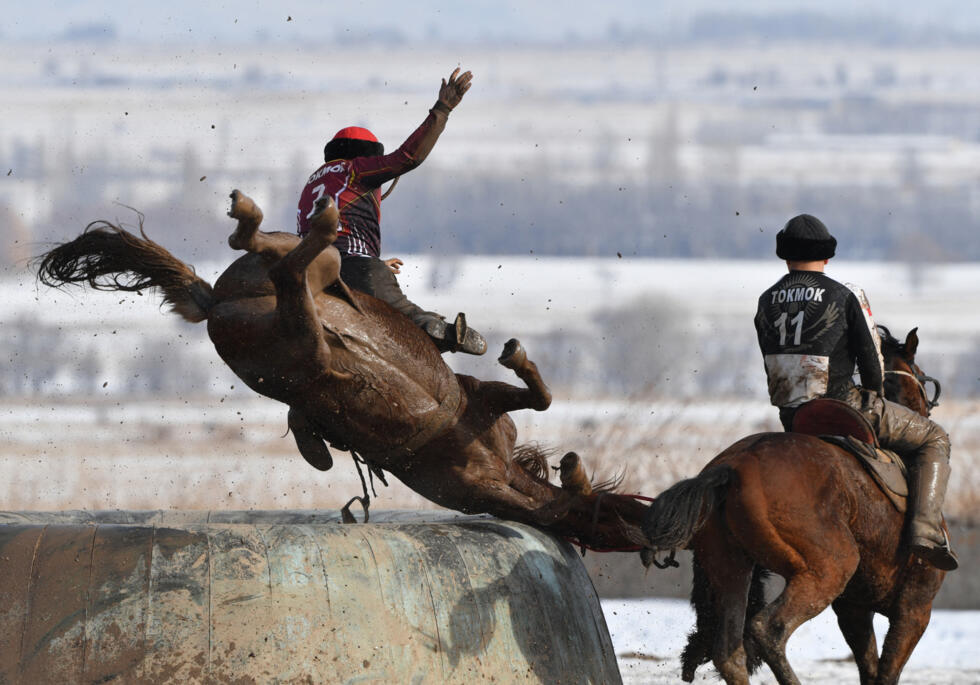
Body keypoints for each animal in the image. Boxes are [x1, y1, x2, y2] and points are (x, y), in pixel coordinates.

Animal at [34, 190, 646, 549]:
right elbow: (538, 405)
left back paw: (265, 220)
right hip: (306, 341)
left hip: (298, 311)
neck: (501, 468)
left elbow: (538, 401)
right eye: (628, 519)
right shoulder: (485, 420)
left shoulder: (485, 411)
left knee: (286, 265)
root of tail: (214, 303)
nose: (652, 546)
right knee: (295, 272)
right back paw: (313, 219)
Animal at [636, 327, 947, 685]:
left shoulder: (854, 609)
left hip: (731, 569)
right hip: (826, 570)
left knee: (729, 651)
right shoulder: (914, 609)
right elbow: (885, 673)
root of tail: (732, 467)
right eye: (920, 376)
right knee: (767, 629)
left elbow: (870, 669)